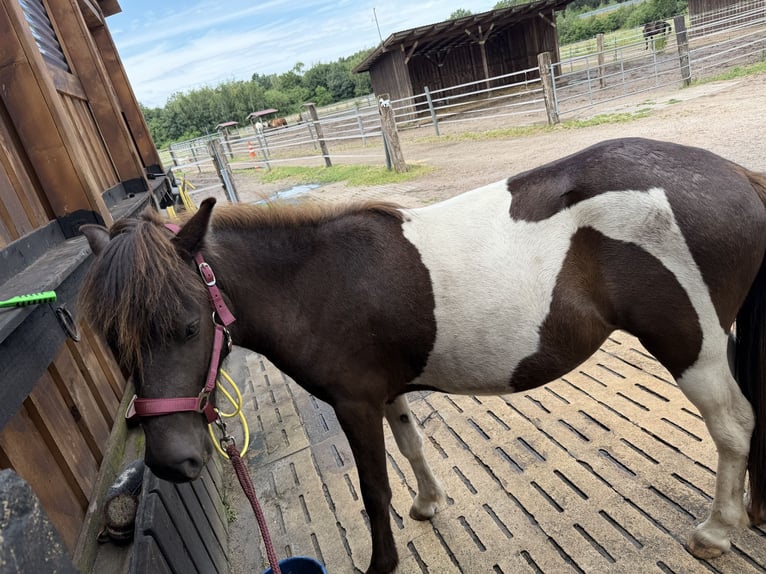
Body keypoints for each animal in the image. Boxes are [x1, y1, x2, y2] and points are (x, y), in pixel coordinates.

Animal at [79, 137, 766, 574]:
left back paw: (717, 531)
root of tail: (739, 176)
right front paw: (429, 503)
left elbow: (374, 487)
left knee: (735, 426)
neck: (313, 281)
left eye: (189, 326)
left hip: (693, 348)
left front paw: (382, 562)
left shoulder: (354, 404)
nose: (172, 463)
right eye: (114, 343)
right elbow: (411, 447)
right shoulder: (387, 391)